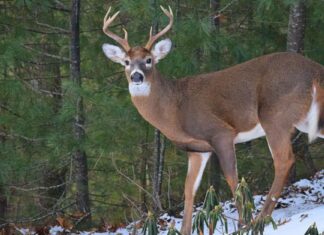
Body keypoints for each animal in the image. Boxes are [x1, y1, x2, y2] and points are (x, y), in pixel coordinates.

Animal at [102, 5, 324, 235]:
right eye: (126, 62)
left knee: (283, 160)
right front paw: (186, 230)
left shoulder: (220, 132)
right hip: (305, 118)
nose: (136, 76)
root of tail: (316, 70)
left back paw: (260, 219)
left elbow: (233, 179)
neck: (175, 108)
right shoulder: (197, 149)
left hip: (273, 115)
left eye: (149, 60)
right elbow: (189, 189)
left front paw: (243, 223)